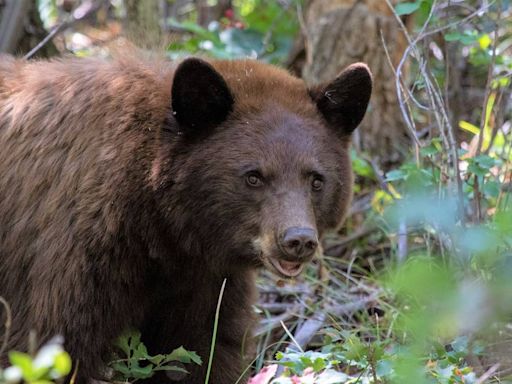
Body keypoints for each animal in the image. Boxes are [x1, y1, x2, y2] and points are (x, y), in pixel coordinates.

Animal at [0, 54, 370, 384]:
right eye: (253, 177)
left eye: (316, 180)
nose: (298, 240)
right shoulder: (73, 255)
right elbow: (48, 347)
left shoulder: (207, 283)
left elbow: (203, 352)